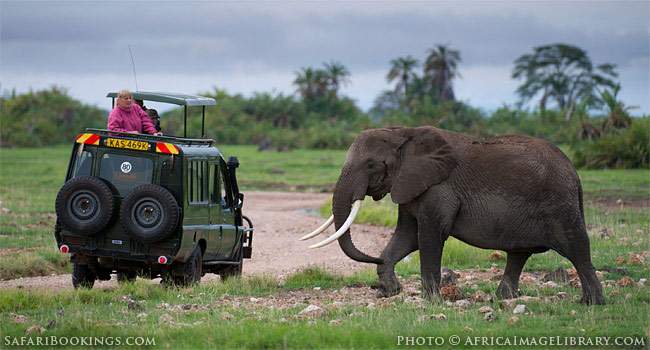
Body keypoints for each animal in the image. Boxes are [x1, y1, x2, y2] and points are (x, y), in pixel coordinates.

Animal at [302, 126, 604, 304]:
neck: (405, 133)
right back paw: (502, 300)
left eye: (370, 164)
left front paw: (430, 301)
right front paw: (391, 291)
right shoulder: (410, 185)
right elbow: (407, 237)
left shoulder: (438, 188)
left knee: (577, 249)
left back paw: (591, 303)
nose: (373, 257)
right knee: (518, 254)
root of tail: (574, 172)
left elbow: (429, 236)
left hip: (559, 204)